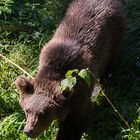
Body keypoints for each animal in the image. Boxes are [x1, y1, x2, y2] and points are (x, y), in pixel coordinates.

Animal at [15, 0, 124, 139]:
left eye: (43, 113)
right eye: (27, 110)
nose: (28, 131)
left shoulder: (79, 95)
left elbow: (75, 124)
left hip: (114, 37)